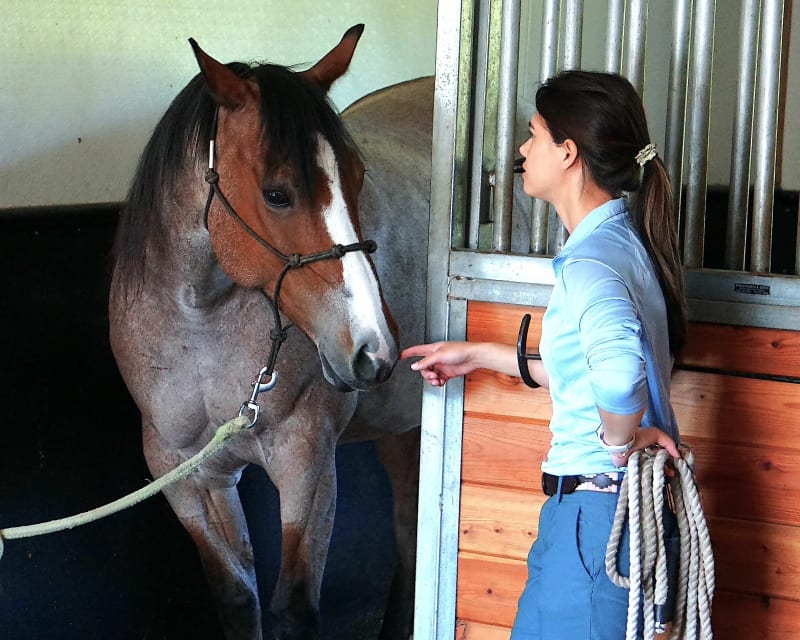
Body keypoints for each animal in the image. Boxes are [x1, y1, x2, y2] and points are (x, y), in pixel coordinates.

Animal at [111, 23, 432, 640]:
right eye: (276, 193)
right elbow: (238, 596)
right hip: (401, 427)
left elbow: (293, 607)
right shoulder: (185, 476)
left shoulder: (307, 464)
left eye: (358, 177)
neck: (200, 328)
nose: (373, 348)